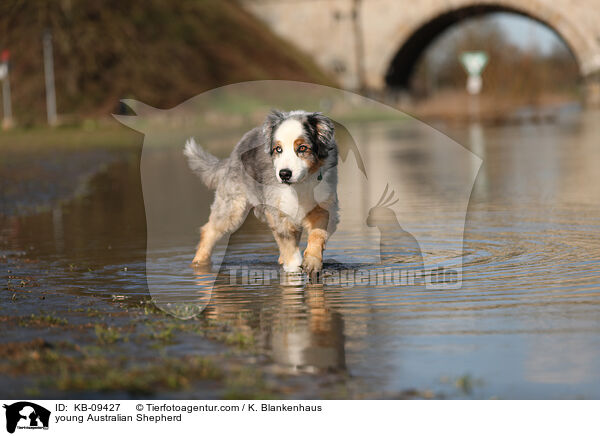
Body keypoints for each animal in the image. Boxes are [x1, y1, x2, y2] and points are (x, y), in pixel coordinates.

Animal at [184, 109, 338, 274]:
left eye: (302, 148)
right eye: (278, 149)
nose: (284, 174)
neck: (299, 185)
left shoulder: (323, 205)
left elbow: (318, 233)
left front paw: (312, 262)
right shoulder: (276, 210)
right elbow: (287, 243)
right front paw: (293, 268)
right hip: (233, 206)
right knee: (210, 230)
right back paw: (199, 262)